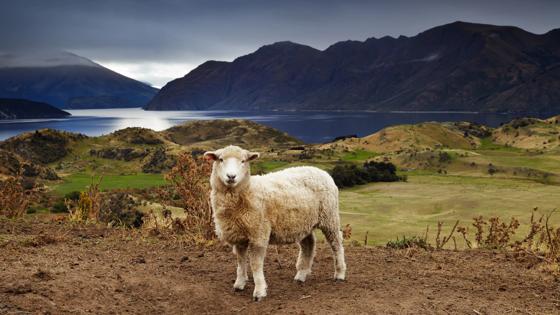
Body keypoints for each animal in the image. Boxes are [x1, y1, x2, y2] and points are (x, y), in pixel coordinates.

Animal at [206, 145, 346, 302]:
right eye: (221, 159)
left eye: (243, 161)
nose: (231, 176)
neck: (247, 192)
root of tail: (321, 171)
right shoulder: (239, 235)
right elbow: (241, 261)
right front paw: (239, 284)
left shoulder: (259, 233)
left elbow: (255, 264)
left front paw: (259, 291)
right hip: (302, 221)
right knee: (309, 244)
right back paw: (301, 275)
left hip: (329, 216)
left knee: (336, 243)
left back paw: (340, 273)